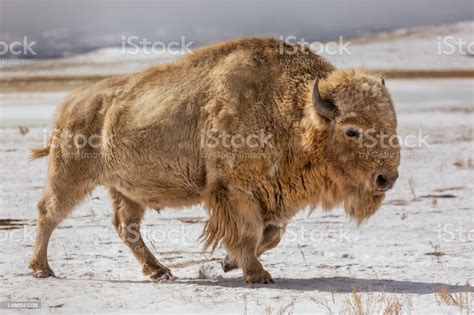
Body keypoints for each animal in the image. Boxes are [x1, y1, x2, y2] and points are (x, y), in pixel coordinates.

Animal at [29, 37, 400, 284]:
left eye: (392, 124)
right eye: (352, 130)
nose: (387, 178)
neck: (292, 112)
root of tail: (71, 104)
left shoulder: (272, 198)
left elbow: (272, 235)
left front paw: (227, 263)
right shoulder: (234, 190)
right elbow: (250, 233)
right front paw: (256, 274)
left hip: (127, 191)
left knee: (126, 226)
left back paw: (160, 272)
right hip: (70, 177)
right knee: (49, 213)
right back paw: (41, 269)